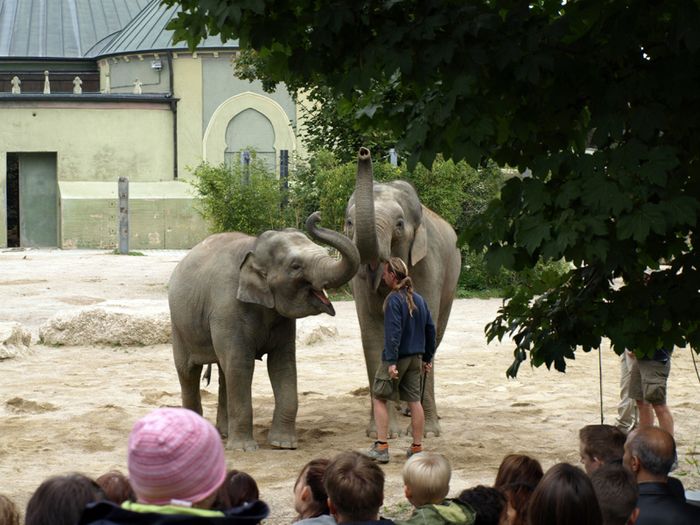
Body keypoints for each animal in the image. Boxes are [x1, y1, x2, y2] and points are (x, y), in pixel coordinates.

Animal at [167, 213, 358, 450]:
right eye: (295, 266)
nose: (316, 216)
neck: (254, 247)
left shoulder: (283, 321)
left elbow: (282, 364)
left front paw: (284, 445)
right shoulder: (227, 309)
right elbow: (241, 365)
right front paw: (244, 449)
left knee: (224, 371)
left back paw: (223, 433)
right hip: (179, 325)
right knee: (188, 372)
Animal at [344, 146, 460, 434]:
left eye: (399, 224)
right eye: (349, 222)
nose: (364, 152)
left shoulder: (429, 265)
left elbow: (423, 331)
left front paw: (428, 432)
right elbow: (372, 335)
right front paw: (381, 431)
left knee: (434, 338)